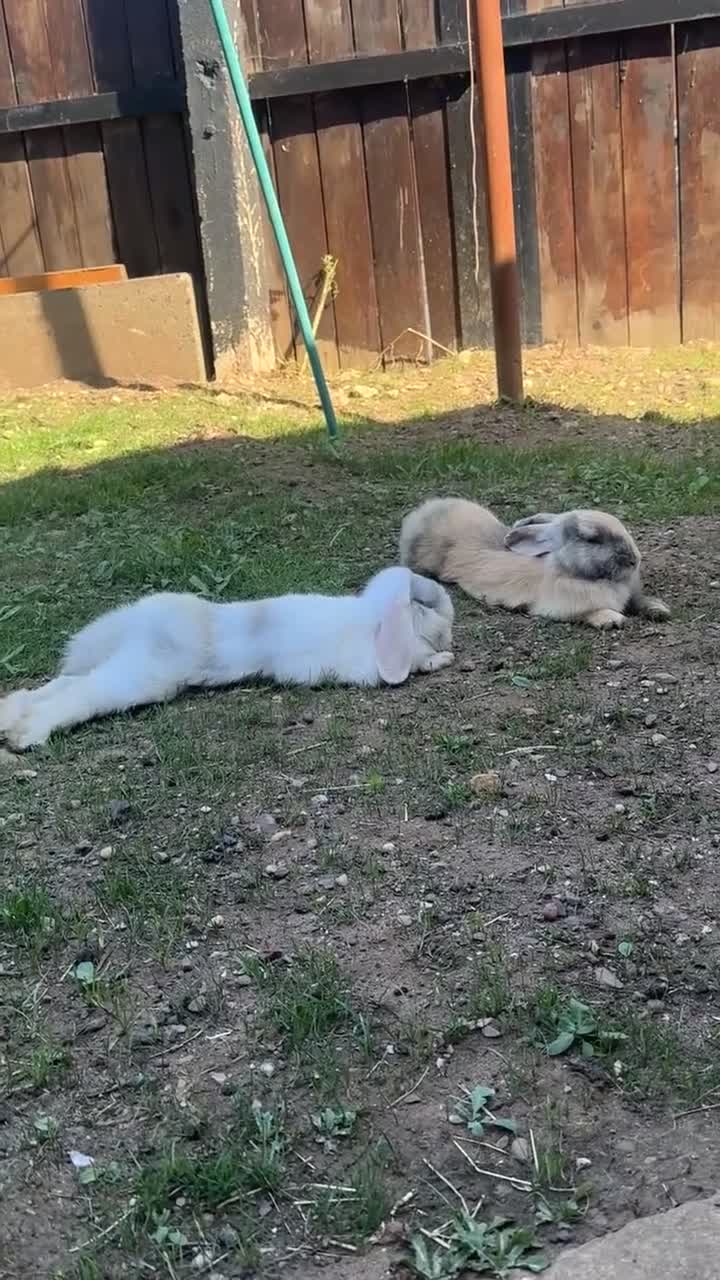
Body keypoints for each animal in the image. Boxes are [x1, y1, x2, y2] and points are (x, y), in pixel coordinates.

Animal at [0, 567, 454, 750]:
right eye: (427, 601)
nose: (452, 625)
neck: (379, 619)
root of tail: (139, 622)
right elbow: (415, 664)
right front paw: (443, 658)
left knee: (59, 687)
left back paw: (9, 720)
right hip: (141, 675)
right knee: (79, 696)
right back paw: (27, 736)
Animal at [399, 497, 670, 630]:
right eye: (591, 539)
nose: (634, 560)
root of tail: (421, 514)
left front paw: (660, 609)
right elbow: (590, 612)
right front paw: (612, 619)